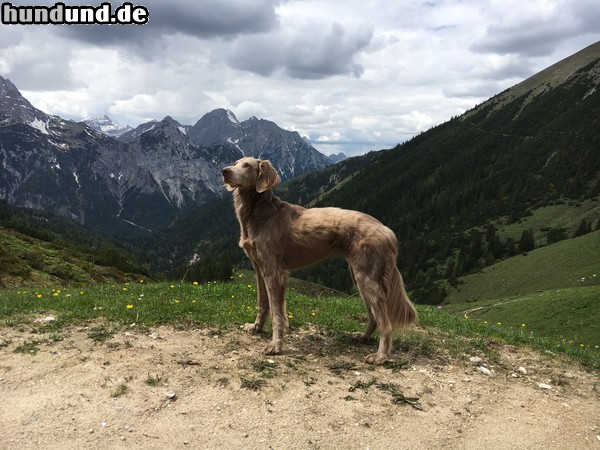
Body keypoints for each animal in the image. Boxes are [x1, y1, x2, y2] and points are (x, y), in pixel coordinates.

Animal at [221, 156, 418, 364]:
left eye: (247, 166)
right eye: (235, 163)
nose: (224, 171)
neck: (260, 213)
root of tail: (388, 231)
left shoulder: (274, 272)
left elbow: (277, 313)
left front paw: (275, 346)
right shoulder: (259, 268)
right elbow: (262, 304)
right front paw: (256, 327)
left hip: (367, 278)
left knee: (385, 322)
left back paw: (381, 356)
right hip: (359, 277)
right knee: (374, 316)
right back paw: (364, 337)